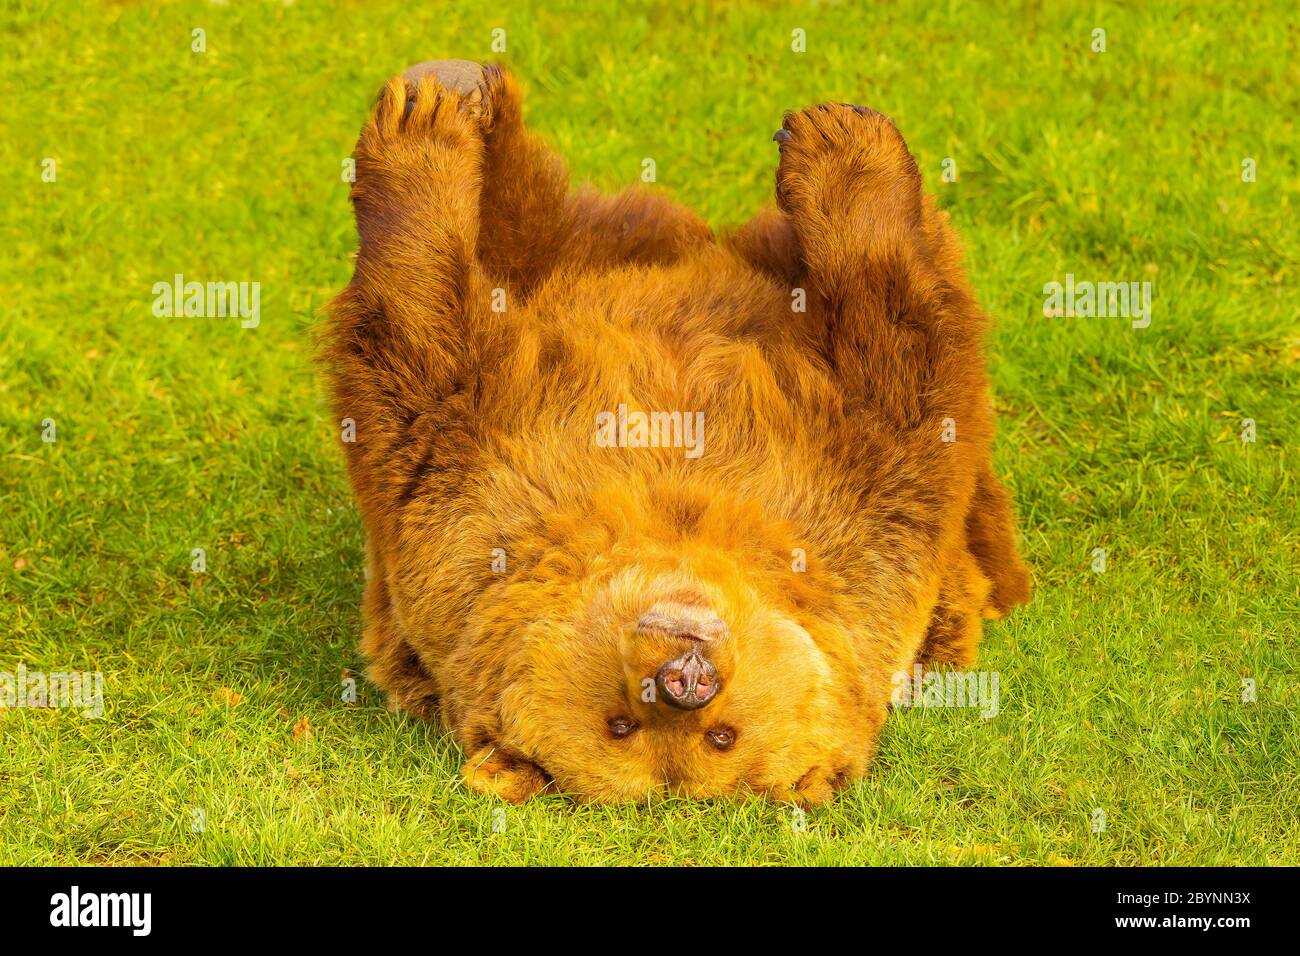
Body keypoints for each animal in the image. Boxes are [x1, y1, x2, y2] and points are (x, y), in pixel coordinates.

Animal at [322, 60, 1031, 804]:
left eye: (723, 736)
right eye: (620, 725)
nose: (685, 680)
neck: (674, 519)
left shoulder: (859, 526)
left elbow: (902, 362)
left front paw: (841, 146)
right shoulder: (464, 521)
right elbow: (419, 360)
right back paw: (450, 98)